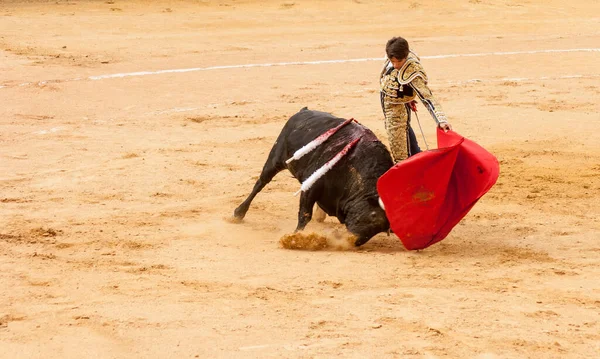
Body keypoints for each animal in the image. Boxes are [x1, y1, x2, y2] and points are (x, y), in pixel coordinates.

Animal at [231, 107, 394, 248]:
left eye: (381, 230)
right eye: (372, 215)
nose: (353, 241)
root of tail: (304, 110)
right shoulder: (311, 186)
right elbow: (305, 214)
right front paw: (295, 238)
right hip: (276, 158)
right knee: (261, 183)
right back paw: (238, 213)